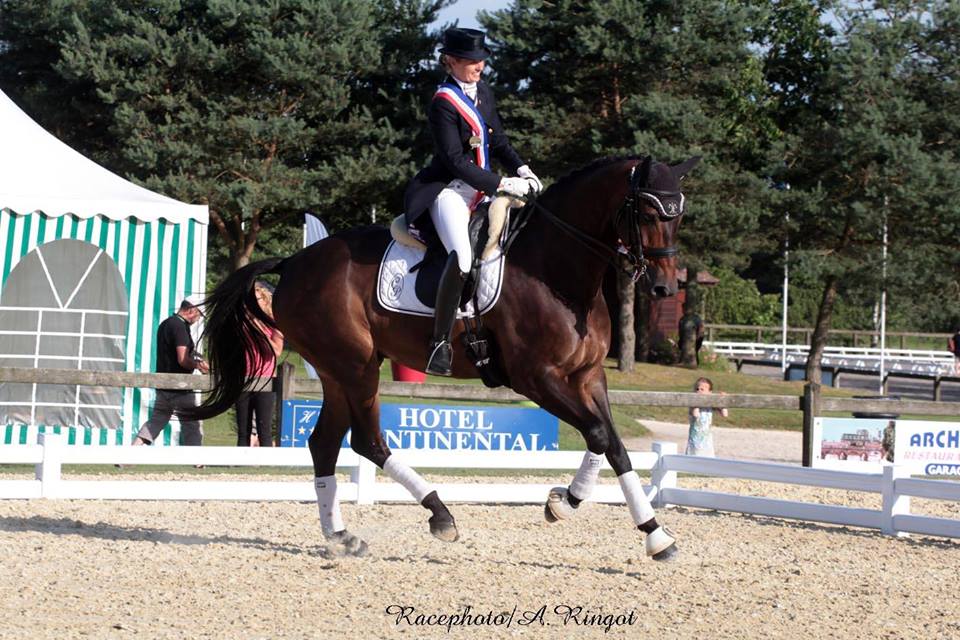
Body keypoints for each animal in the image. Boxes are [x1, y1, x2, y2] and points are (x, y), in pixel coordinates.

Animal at [191, 155, 696, 560]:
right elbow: (597, 433)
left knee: (325, 444)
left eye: (679, 215)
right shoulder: (536, 378)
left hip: (340, 371)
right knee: (367, 442)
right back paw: (439, 514)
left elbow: (612, 444)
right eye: (647, 211)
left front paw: (649, 532)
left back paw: (340, 536)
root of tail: (294, 263)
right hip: (355, 367)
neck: (556, 270)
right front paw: (566, 503)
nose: (663, 288)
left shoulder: (589, 376)